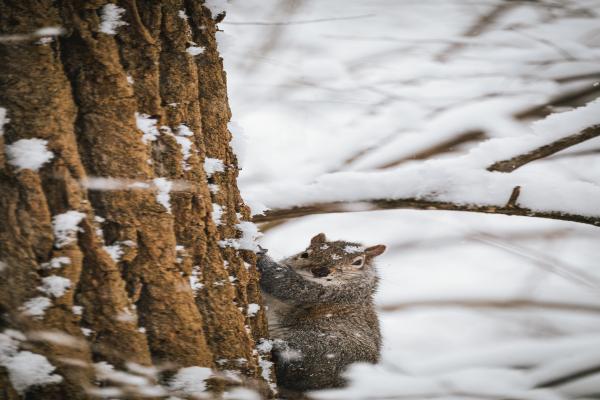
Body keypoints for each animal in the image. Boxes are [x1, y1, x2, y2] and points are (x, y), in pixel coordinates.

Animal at [255, 233, 386, 392]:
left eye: (358, 262)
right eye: (305, 254)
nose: (321, 271)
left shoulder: (327, 294)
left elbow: (284, 283)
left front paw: (262, 257)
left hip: (328, 347)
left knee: (297, 360)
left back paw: (274, 347)